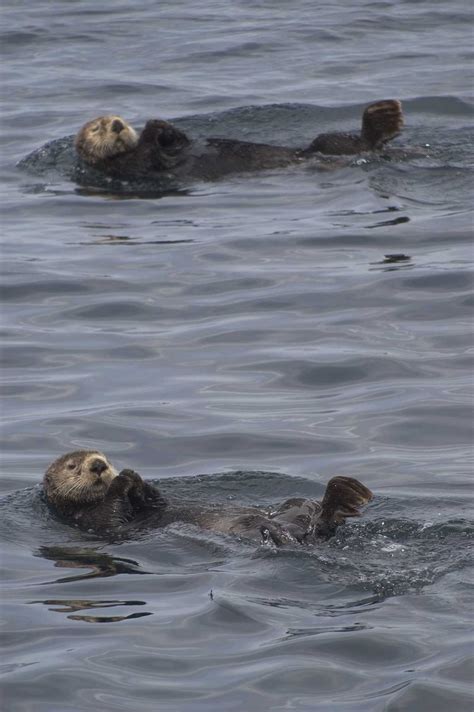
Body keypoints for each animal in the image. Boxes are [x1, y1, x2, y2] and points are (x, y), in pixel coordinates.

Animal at [42, 450, 372, 544]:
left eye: (106, 458)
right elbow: (112, 514)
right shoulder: (92, 521)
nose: (100, 465)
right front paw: (124, 481)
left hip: (295, 507)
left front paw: (137, 480)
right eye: (73, 466)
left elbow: (157, 501)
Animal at [74, 100, 404, 184]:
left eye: (121, 118)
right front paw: (155, 130)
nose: (117, 124)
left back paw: (384, 117)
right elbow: (155, 157)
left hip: (324, 144)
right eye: (97, 128)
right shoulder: (134, 167)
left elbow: (181, 140)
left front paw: (160, 125)